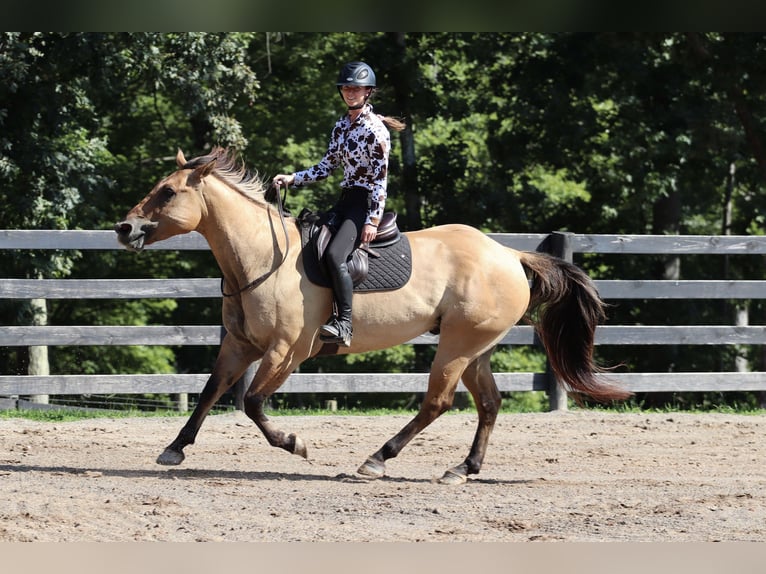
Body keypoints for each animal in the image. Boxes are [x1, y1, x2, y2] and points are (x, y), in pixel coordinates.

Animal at [114, 146, 632, 484]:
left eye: (167, 192)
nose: (125, 228)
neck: (261, 258)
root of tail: (509, 254)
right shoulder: (240, 346)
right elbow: (209, 392)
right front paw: (174, 449)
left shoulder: (286, 352)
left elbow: (253, 404)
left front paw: (295, 443)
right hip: (475, 349)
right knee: (488, 404)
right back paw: (462, 469)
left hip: (456, 347)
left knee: (437, 403)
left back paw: (377, 460)